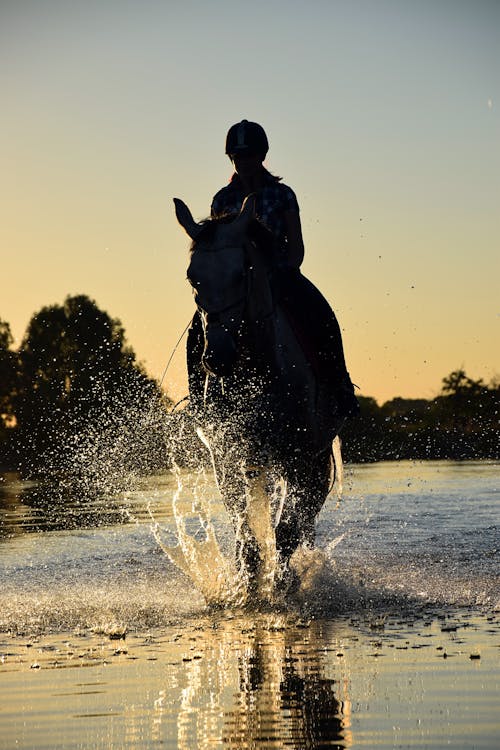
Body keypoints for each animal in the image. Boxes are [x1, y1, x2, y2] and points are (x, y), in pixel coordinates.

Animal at [173, 197, 344, 596]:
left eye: (242, 272)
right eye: (192, 277)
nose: (218, 356)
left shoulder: (301, 457)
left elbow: (286, 532)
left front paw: (281, 586)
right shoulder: (227, 457)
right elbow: (245, 531)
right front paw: (246, 586)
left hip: (309, 458)